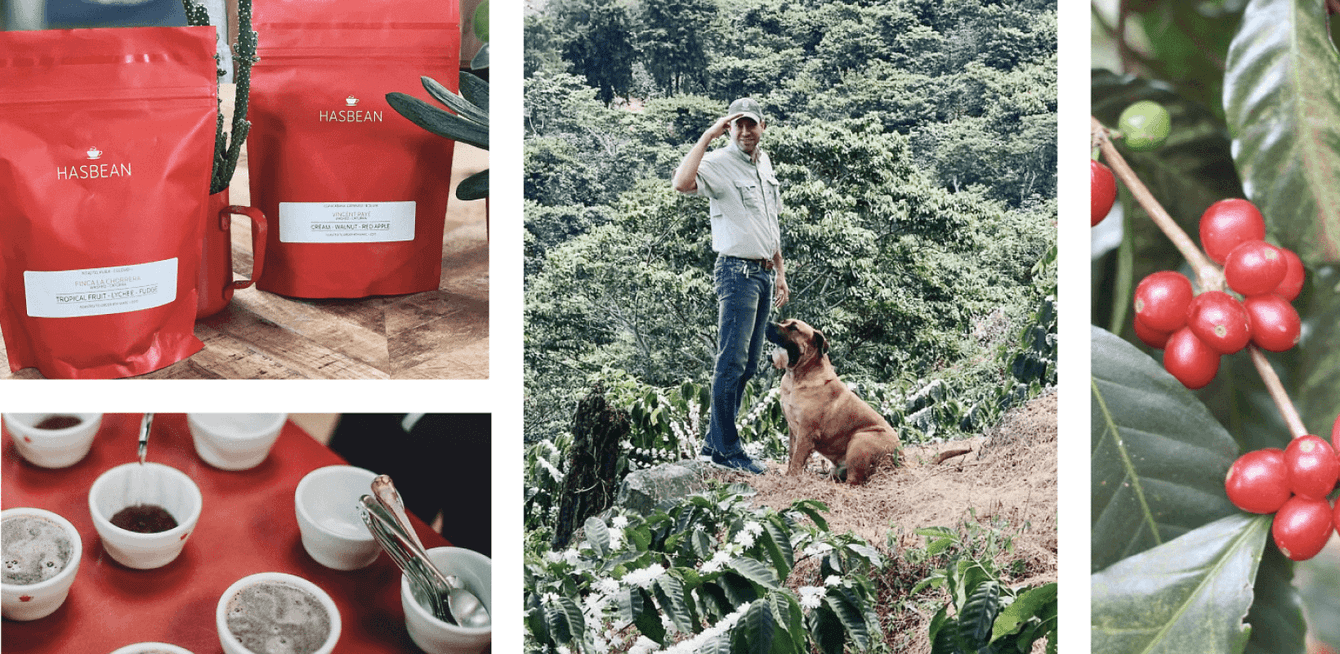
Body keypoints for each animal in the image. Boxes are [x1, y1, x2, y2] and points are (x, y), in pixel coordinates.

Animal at [766, 318, 900, 482]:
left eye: (793, 328)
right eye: (784, 322)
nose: (768, 323)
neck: (796, 378)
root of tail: (901, 457)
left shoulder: (806, 432)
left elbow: (797, 460)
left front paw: (791, 479)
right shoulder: (793, 430)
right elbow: (792, 455)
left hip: (860, 440)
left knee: (854, 481)